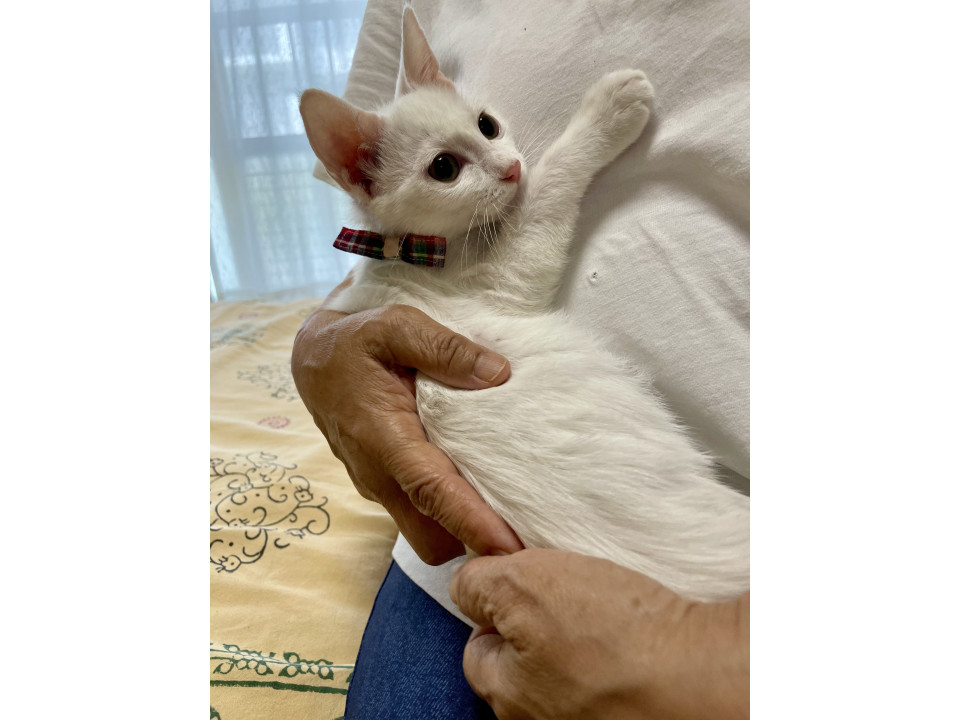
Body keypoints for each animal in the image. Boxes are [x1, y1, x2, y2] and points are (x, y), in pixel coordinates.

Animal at [298, 7, 749, 603]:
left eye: (487, 125)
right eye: (444, 169)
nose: (510, 168)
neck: (411, 252)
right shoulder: (509, 277)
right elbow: (549, 185)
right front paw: (610, 107)